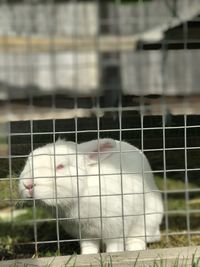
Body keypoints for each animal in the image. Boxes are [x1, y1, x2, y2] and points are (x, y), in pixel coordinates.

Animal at [18, 139, 163, 254]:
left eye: (60, 166)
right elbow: (89, 248)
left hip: (147, 220)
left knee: (138, 238)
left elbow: (114, 247)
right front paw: (87, 256)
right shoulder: (86, 234)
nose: (28, 184)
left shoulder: (115, 229)